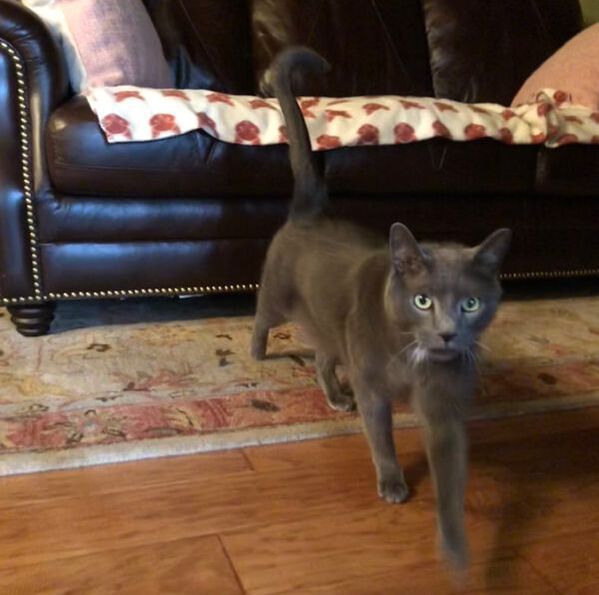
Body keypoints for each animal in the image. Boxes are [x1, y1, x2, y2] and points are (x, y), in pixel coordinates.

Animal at [252, 47, 510, 572]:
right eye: (422, 300)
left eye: (471, 303)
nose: (448, 332)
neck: (411, 359)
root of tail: (312, 211)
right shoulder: (373, 385)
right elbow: (382, 435)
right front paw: (392, 483)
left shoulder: (443, 403)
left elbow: (449, 470)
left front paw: (455, 548)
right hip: (278, 295)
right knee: (261, 315)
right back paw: (256, 352)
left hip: (332, 324)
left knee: (324, 357)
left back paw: (334, 394)